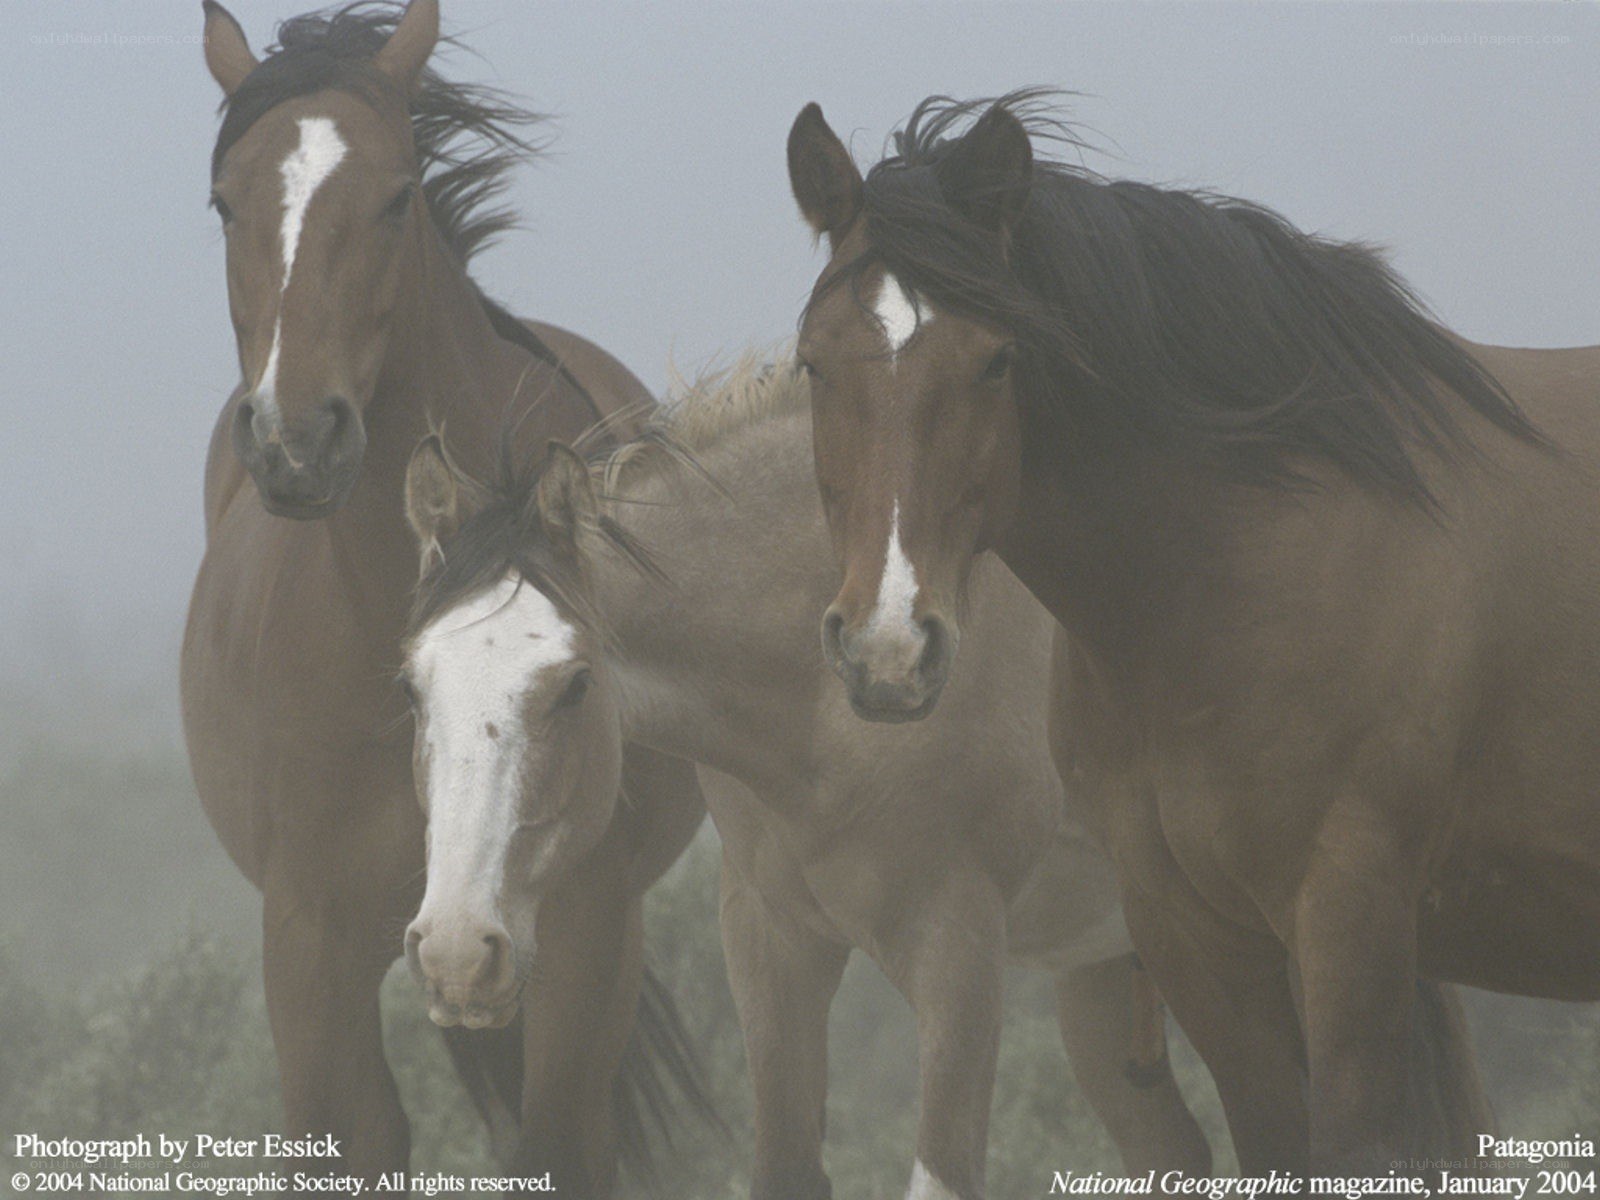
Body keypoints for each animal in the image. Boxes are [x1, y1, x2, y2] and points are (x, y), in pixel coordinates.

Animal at [179, 3, 707, 1190]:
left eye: (395, 195)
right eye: (226, 200)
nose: (296, 439)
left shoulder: (582, 923)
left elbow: (559, 1143)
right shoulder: (312, 939)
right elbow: (352, 1138)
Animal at [397, 355, 1491, 1200]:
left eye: (573, 685)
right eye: (412, 684)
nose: (455, 953)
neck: (826, 694)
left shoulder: (955, 947)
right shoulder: (772, 941)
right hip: (1117, 969)